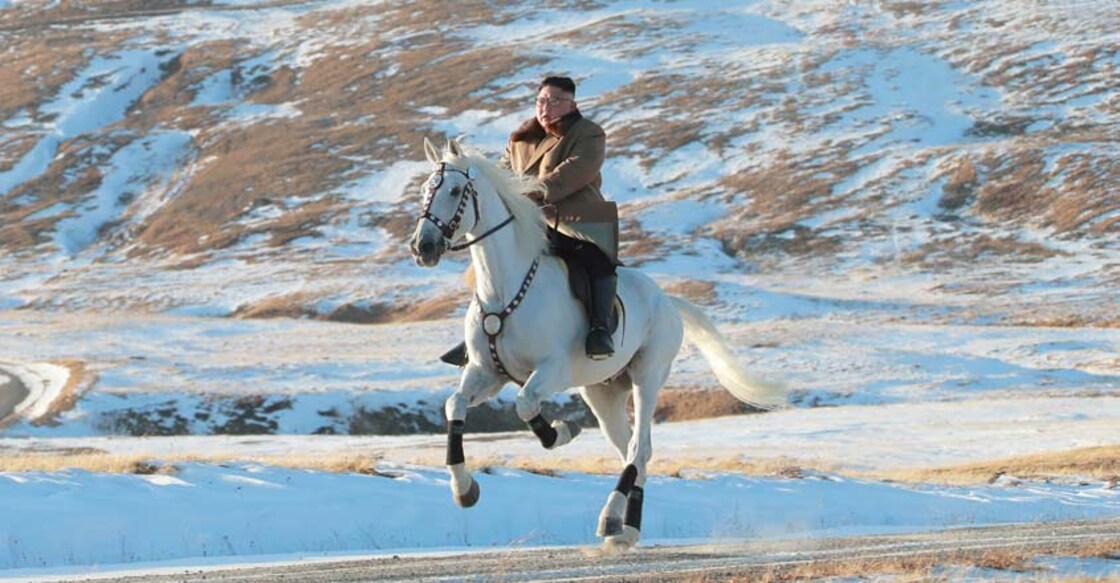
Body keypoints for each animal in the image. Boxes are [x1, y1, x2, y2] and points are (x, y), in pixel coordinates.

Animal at [408, 138, 786, 550]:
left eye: (455, 191)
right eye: (426, 190)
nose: (423, 246)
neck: (504, 289)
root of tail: (668, 300)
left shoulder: (551, 370)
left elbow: (525, 404)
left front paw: (561, 431)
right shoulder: (486, 373)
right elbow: (454, 405)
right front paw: (464, 489)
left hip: (647, 376)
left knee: (638, 448)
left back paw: (610, 519)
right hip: (602, 393)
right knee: (634, 452)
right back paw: (627, 529)